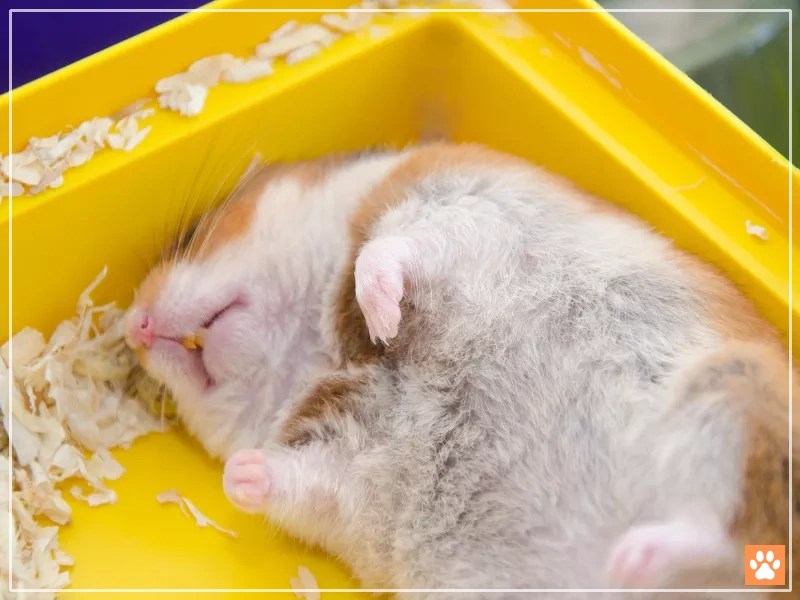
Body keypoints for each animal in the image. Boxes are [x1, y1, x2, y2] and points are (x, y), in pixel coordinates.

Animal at [125, 142, 797, 598]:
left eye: (191, 233)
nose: (132, 328)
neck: (322, 348)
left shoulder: (457, 209)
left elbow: (383, 252)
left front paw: (383, 316)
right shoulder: (346, 469)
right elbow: (292, 479)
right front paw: (237, 473)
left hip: (732, 397)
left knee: (725, 525)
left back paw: (633, 556)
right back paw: (629, 564)